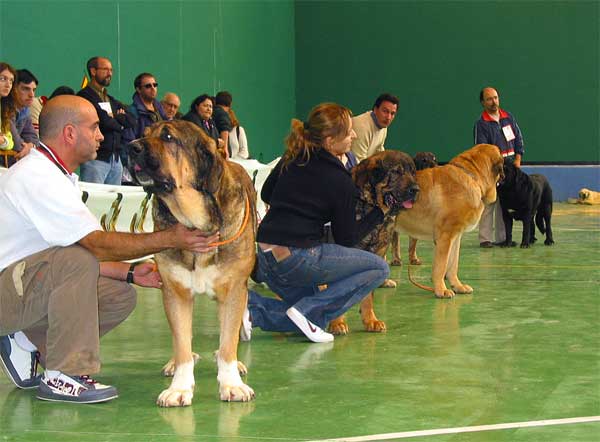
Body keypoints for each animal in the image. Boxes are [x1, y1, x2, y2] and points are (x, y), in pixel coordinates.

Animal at [129, 121, 255, 408]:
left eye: (168, 136)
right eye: (146, 132)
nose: (131, 147)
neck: (193, 220)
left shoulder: (234, 290)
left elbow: (229, 341)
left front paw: (231, 383)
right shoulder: (174, 292)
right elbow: (182, 345)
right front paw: (179, 388)